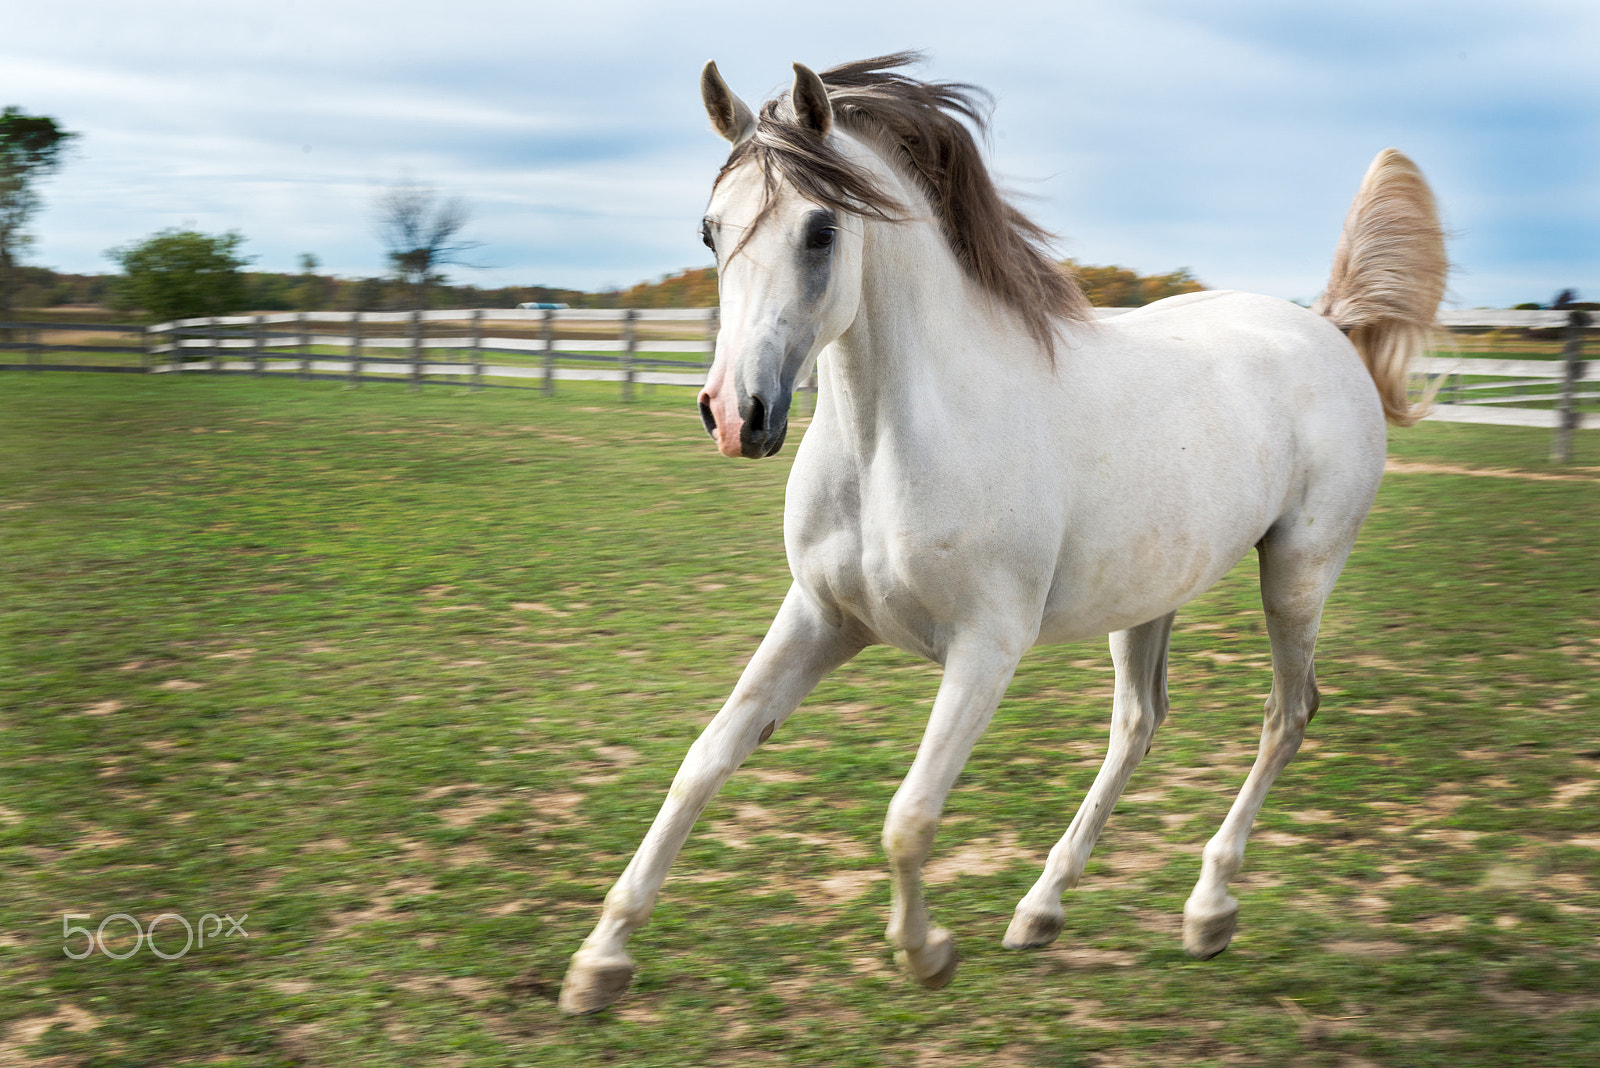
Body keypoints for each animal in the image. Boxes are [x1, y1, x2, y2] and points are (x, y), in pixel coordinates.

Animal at [556, 51, 1446, 1016]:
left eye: (821, 230)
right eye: (710, 230)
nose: (735, 415)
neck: (892, 443)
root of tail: (1328, 327)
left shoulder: (986, 647)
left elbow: (907, 818)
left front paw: (927, 953)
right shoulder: (821, 618)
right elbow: (705, 759)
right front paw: (600, 960)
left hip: (1296, 575)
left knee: (1287, 715)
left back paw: (1208, 910)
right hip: (1150, 595)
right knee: (1139, 722)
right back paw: (1041, 910)